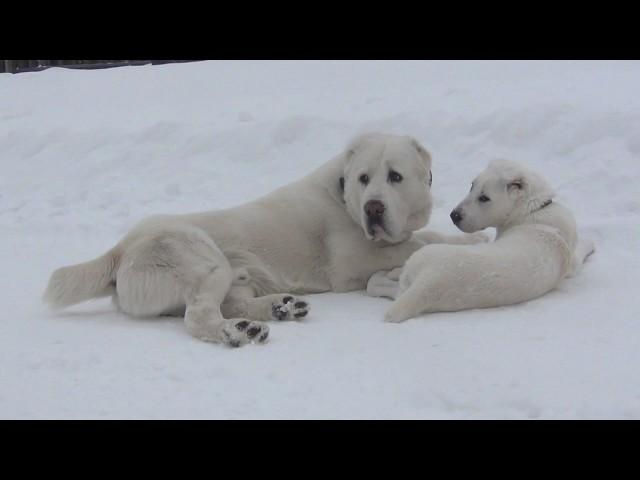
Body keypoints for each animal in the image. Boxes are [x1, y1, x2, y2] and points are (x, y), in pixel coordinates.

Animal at [43, 133, 480, 346]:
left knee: (230, 303)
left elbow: (423, 235)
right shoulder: (352, 263)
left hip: (229, 275)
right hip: (205, 260)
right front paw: (470, 245)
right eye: (363, 178)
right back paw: (235, 332)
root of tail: (118, 251)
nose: (373, 208)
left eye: (394, 177)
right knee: (199, 315)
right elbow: (418, 243)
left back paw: (278, 309)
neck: (342, 196)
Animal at [368, 158, 596, 322]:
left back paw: (384, 274)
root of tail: (428, 284)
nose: (454, 215)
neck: (534, 208)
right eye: (471, 186)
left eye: (484, 198)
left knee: (383, 285)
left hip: (418, 265)